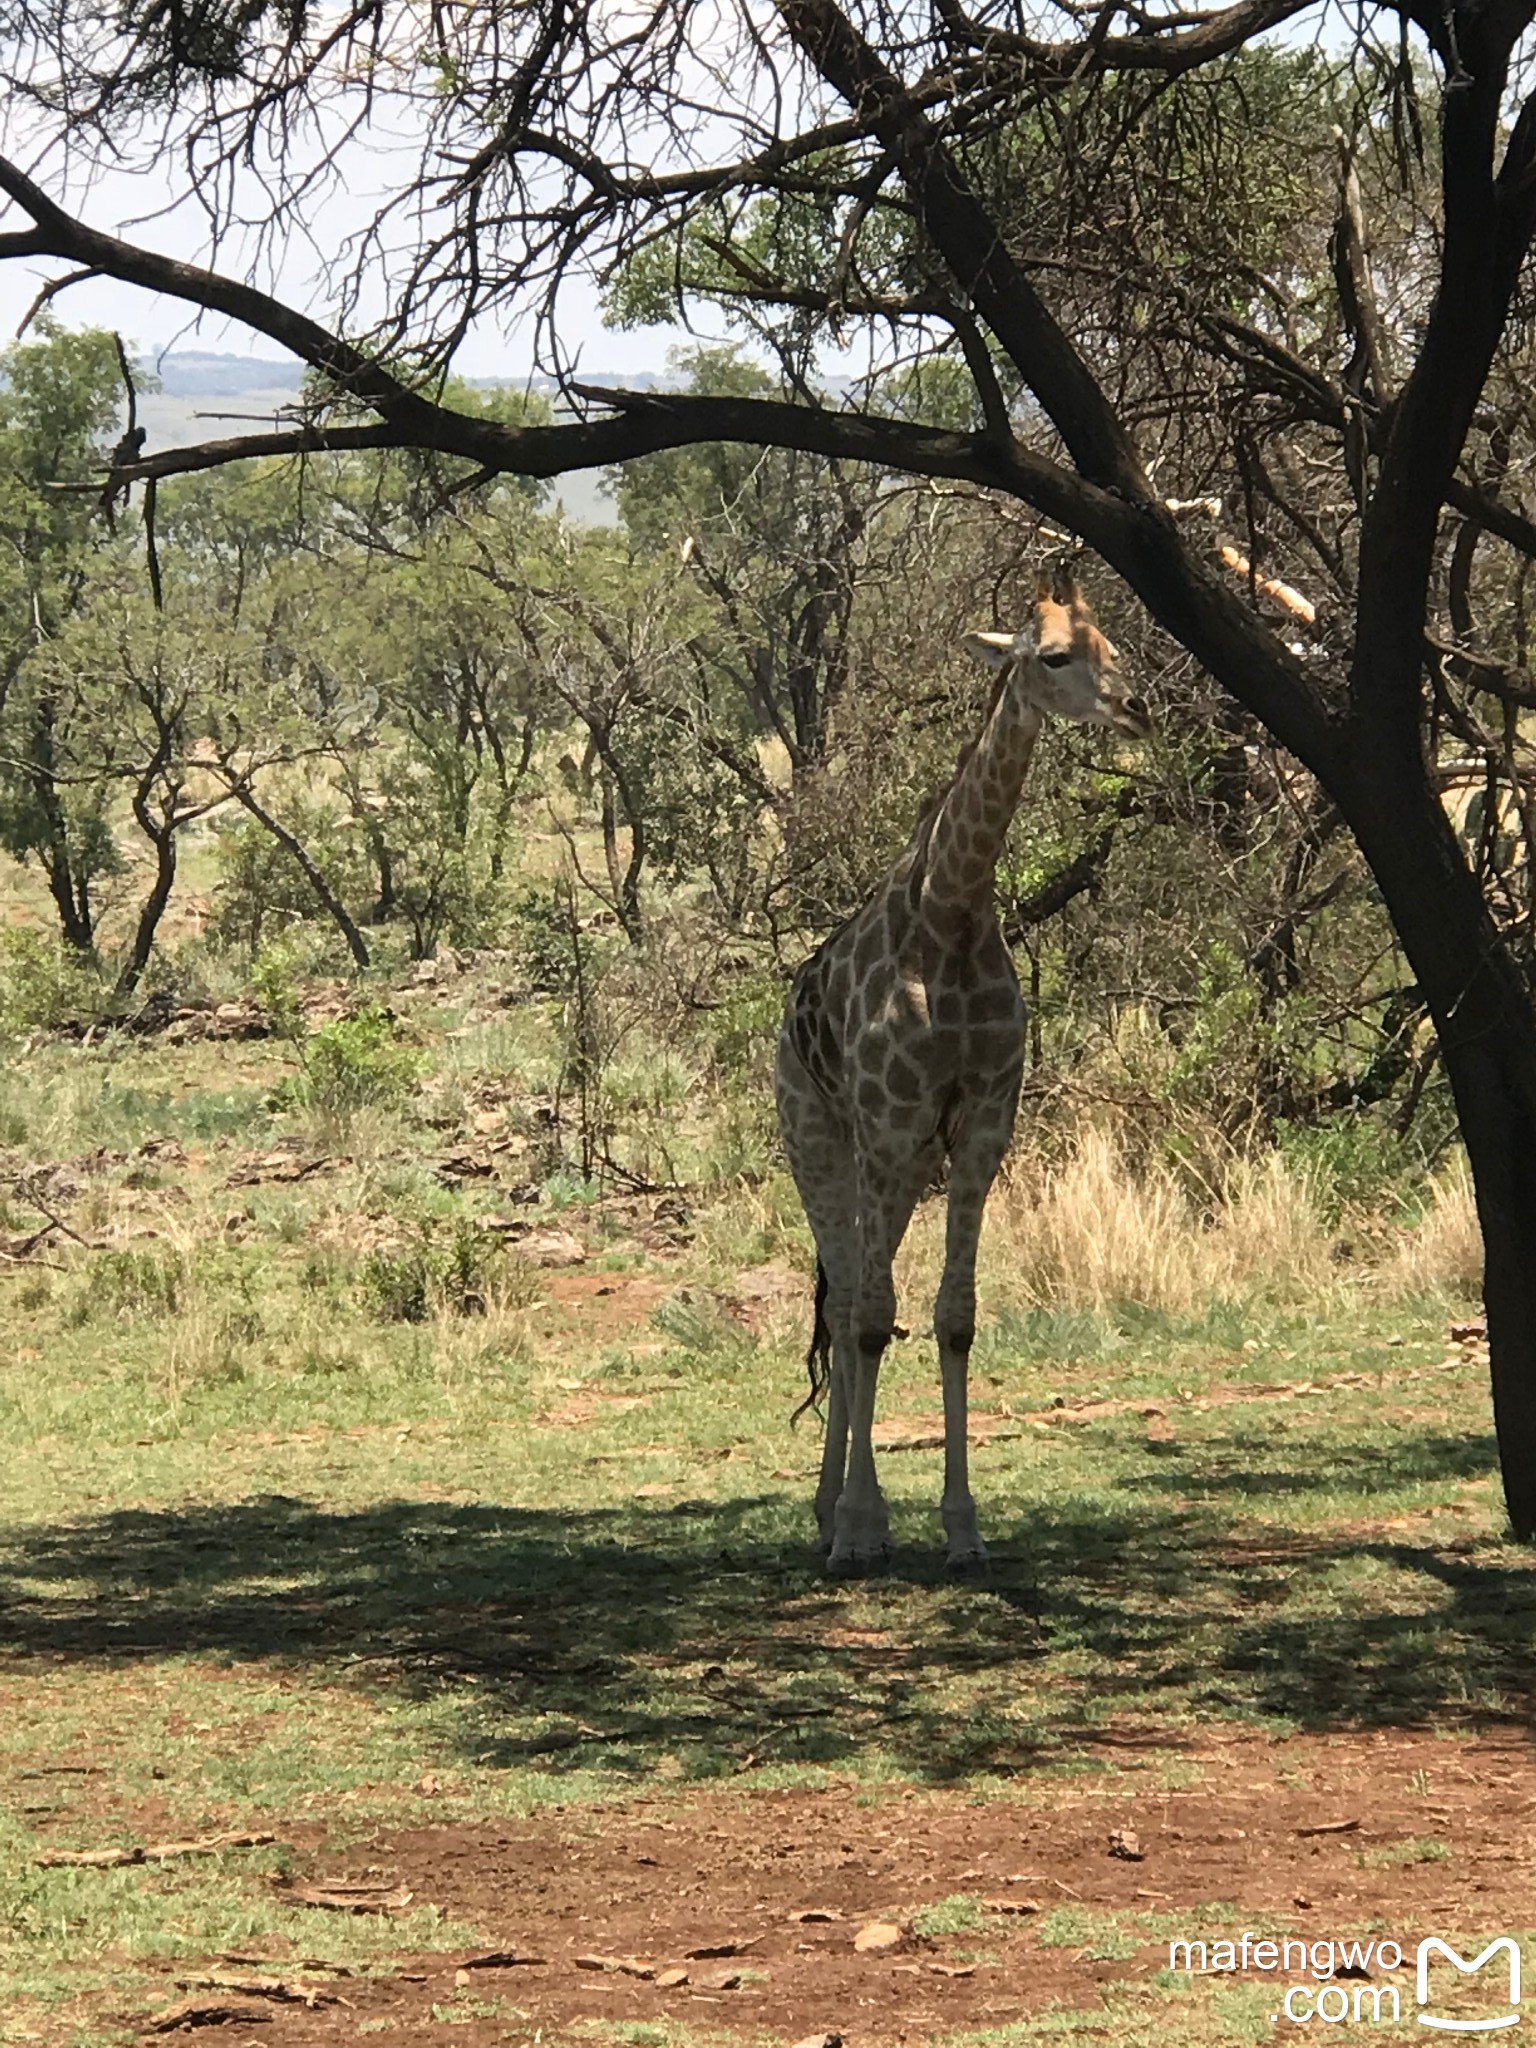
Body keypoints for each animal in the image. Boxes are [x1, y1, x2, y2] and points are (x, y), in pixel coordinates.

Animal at [774, 569, 1146, 1572]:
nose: (1134, 707)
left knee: (859, 1299)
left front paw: (961, 1527)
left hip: (902, 1170)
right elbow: (871, 1318)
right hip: (820, 1143)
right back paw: (833, 1517)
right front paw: (861, 1526)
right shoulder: (889, 1125)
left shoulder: (980, 1127)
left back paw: (833, 1509)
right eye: (1053, 655)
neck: (953, 913)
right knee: (846, 1301)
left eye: (1115, 643)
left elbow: (952, 1317)